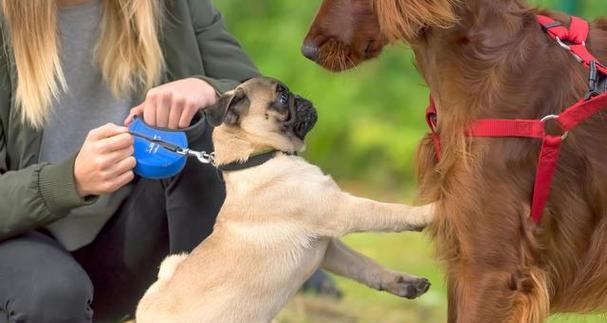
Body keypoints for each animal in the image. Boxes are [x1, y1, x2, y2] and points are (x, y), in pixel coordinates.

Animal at [135, 77, 434, 322]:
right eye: (281, 98)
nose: (302, 98)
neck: (258, 157)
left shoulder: (328, 246)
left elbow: (365, 265)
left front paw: (403, 282)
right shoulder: (340, 210)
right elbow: (387, 211)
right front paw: (430, 212)